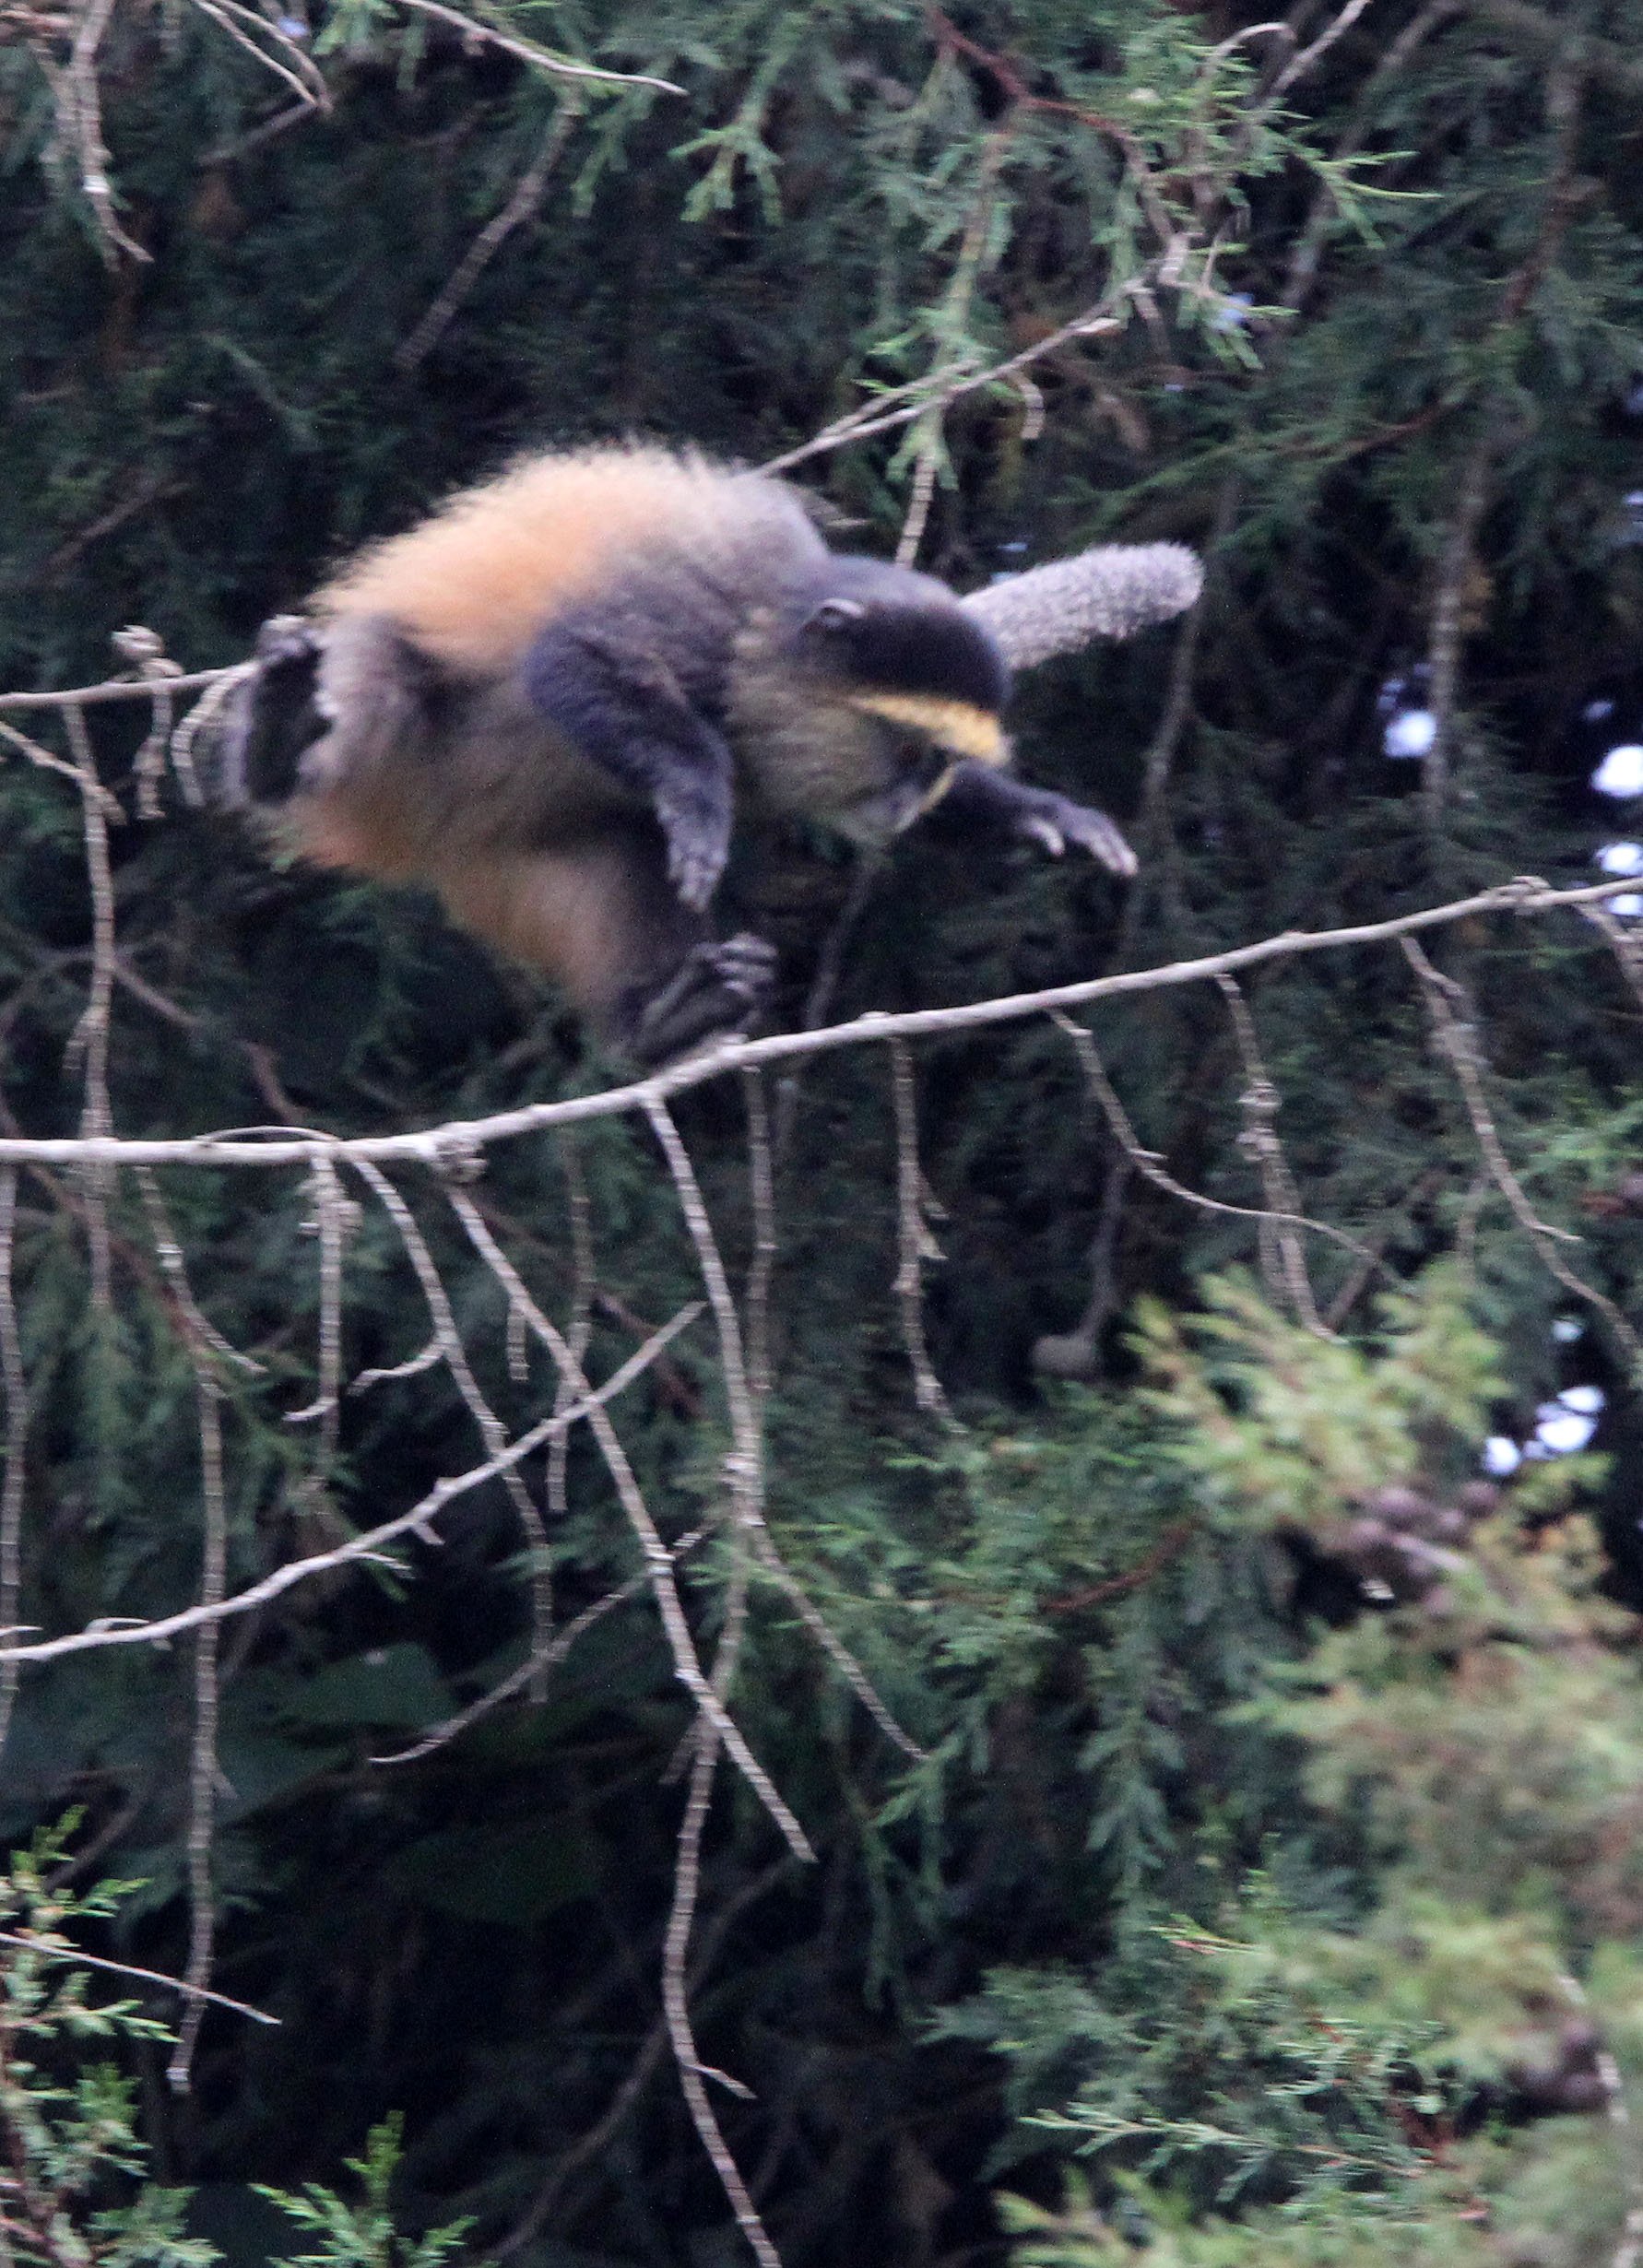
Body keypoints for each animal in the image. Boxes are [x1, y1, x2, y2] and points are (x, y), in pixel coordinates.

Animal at [217, 444, 1201, 1065]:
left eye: (940, 768)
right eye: (908, 750)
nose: (903, 802)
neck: (767, 640)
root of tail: (412, 831)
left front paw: (1043, 816)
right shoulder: (689, 619)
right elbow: (568, 660)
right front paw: (695, 792)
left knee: (619, 860)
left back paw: (663, 1019)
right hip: (387, 747)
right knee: (380, 680)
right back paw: (278, 740)